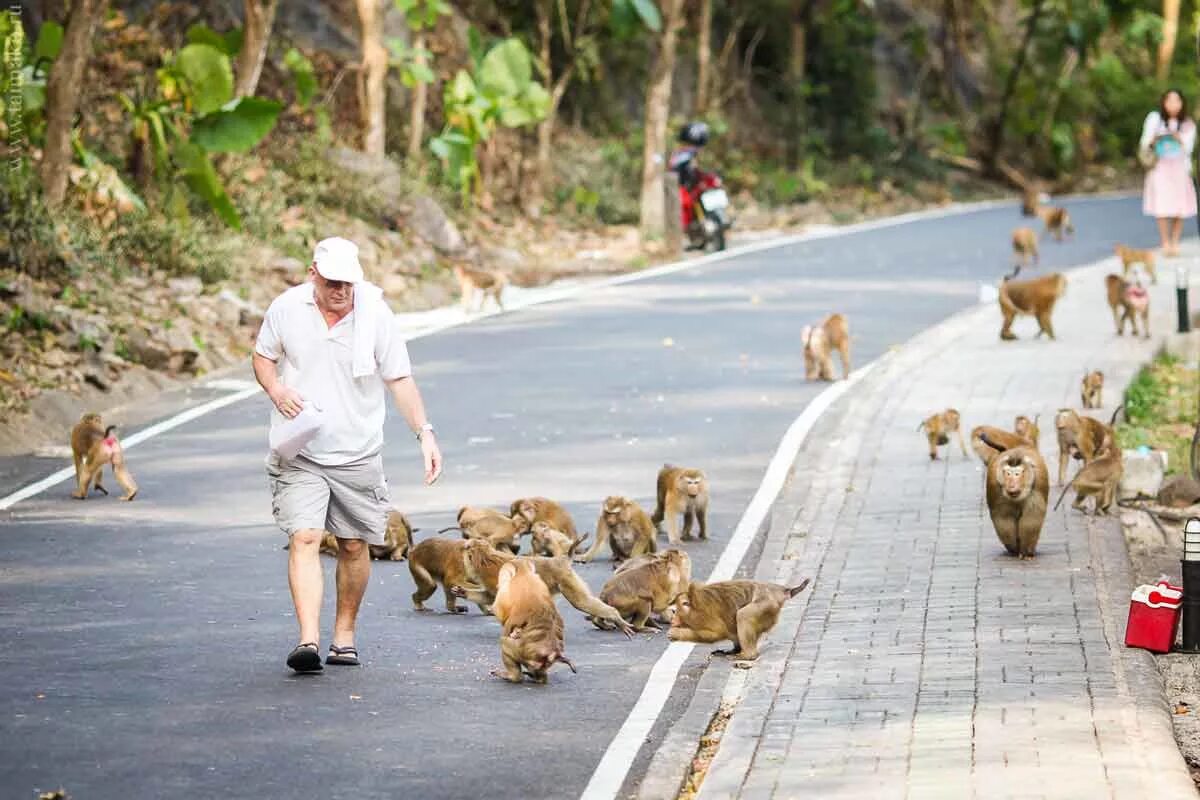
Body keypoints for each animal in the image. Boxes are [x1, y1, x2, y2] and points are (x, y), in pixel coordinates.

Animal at [453, 537, 633, 638]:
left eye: (466, 549)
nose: (461, 549)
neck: (485, 559)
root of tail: (560, 560)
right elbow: (489, 597)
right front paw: (462, 592)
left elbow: (500, 603)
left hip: (565, 578)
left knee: (581, 601)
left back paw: (614, 616)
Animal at [667, 578, 816, 662]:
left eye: (674, 611)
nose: (672, 620)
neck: (692, 608)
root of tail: (778, 590)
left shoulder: (701, 617)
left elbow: (716, 633)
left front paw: (675, 634)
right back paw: (736, 650)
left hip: (765, 604)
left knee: (743, 615)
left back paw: (748, 655)